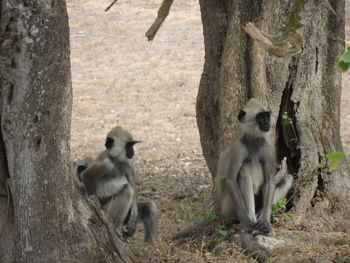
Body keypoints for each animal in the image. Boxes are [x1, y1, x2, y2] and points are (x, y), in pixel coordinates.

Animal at [216, 98, 292, 237]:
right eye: (260, 117)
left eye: (266, 116)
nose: (267, 122)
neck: (254, 139)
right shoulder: (238, 147)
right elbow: (231, 180)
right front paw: (247, 223)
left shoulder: (268, 146)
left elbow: (270, 180)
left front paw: (266, 221)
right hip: (228, 206)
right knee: (244, 170)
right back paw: (252, 220)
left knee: (288, 178)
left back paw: (261, 217)